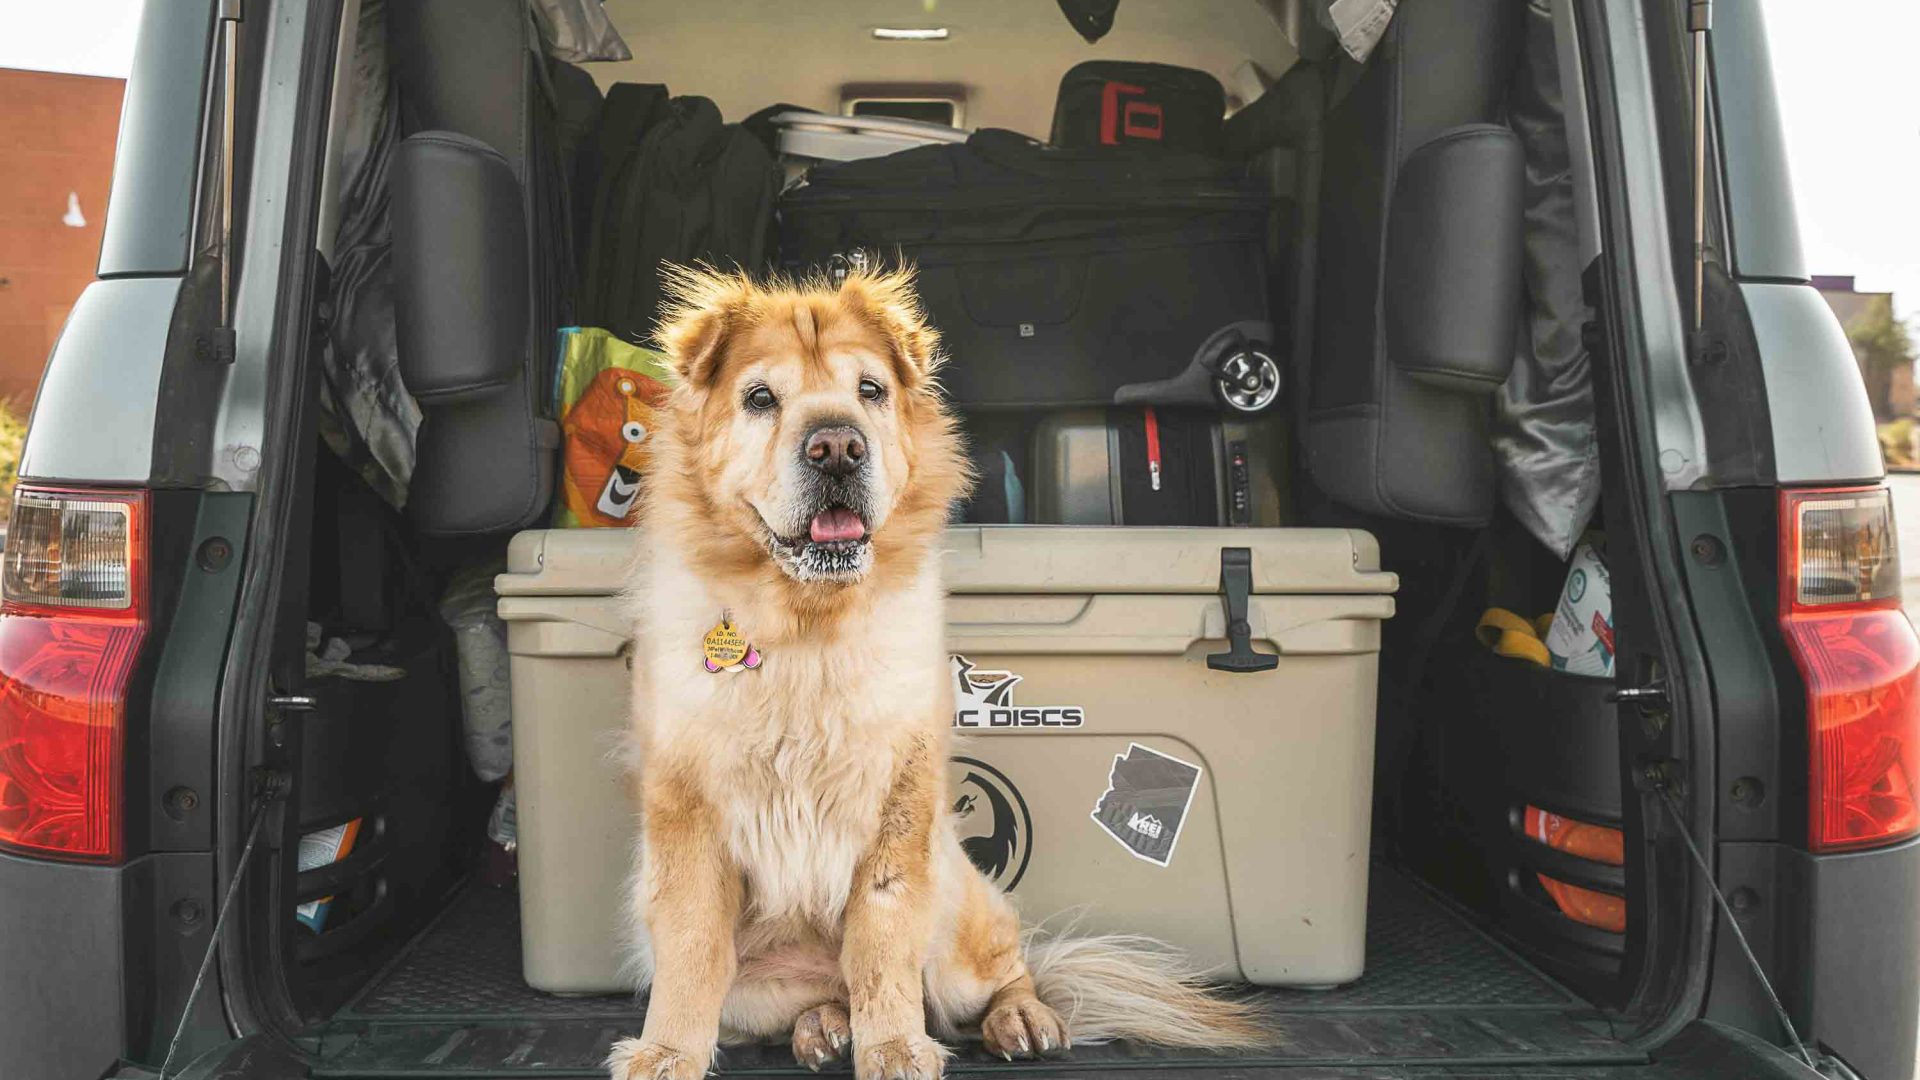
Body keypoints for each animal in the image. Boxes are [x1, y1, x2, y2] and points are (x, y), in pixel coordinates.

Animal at [602, 263, 1259, 1076]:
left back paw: (1020, 1021)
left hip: (958, 913)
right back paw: (822, 1028)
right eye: (760, 398)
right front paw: (666, 1053)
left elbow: (882, 944)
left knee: (1006, 970)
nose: (837, 447)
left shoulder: (899, 805)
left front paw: (894, 1048)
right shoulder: (687, 811)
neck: (806, 629)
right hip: (757, 987)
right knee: (811, 996)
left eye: (870, 390)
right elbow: (692, 949)